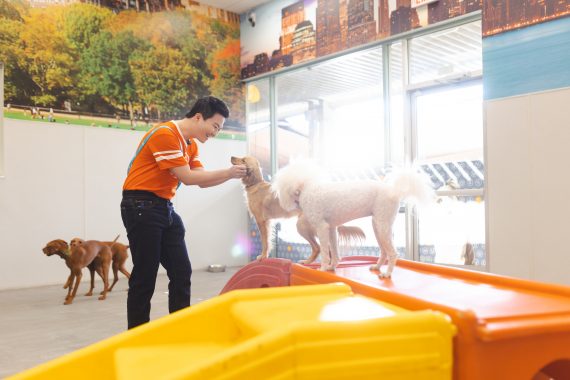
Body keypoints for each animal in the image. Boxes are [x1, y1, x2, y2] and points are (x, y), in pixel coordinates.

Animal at [229, 156, 362, 262]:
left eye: (243, 160)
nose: (231, 157)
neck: (255, 184)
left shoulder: (261, 221)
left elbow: (265, 242)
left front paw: (263, 256)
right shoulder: (268, 222)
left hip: (303, 226)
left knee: (318, 248)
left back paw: (308, 263)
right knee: (327, 249)